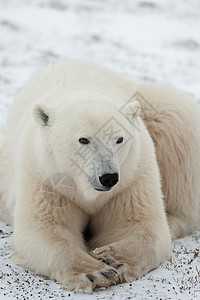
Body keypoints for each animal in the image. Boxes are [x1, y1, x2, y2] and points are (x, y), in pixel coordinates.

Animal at [0, 59, 199, 292]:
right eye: (84, 139)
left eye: (119, 139)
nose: (109, 177)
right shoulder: (45, 176)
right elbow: (44, 230)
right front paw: (94, 272)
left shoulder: (132, 175)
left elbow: (141, 226)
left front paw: (113, 258)